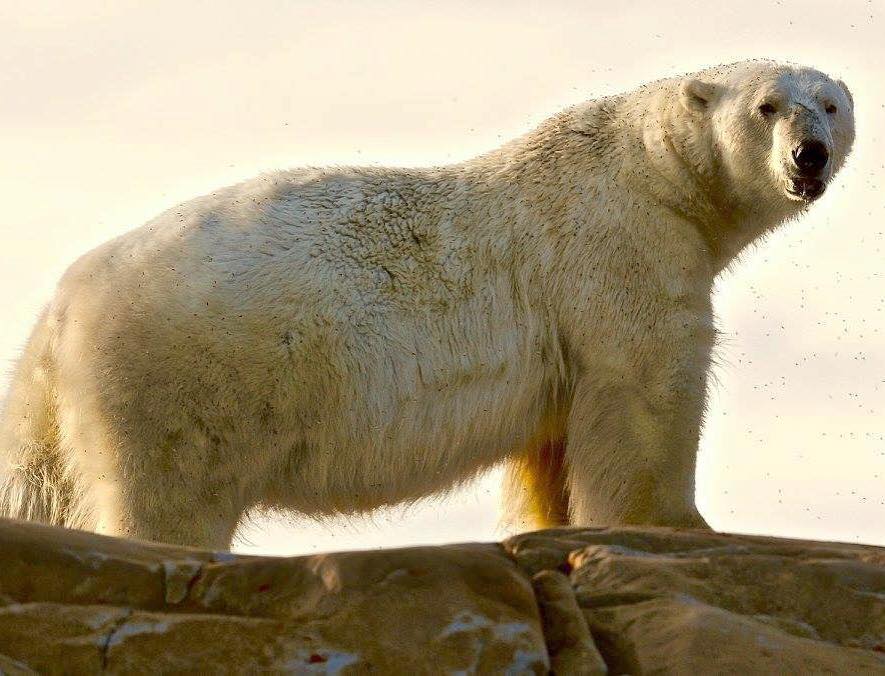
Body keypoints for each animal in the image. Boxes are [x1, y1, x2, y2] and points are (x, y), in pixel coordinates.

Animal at [0, 60, 855, 549]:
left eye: (830, 104)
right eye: (767, 106)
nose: (807, 155)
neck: (645, 169)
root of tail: (58, 313)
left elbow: (553, 445)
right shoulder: (622, 250)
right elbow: (645, 394)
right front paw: (679, 525)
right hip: (179, 373)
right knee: (168, 495)